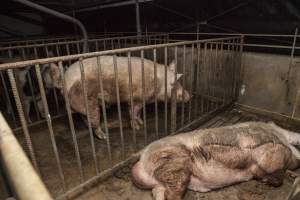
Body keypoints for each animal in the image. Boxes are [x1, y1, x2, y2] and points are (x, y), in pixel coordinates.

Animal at [49, 55, 190, 140]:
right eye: (175, 84)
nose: (190, 96)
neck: (158, 82)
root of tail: (64, 80)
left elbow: (138, 112)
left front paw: (141, 122)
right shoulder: (136, 98)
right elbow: (133, 112)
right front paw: (137, 127)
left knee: (85, 117)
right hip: (87, 100)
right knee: (93, 118)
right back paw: (104, 136)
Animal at [132, 121, 300, 199]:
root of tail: (142, 159)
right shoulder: (271, 155)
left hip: (160, 181)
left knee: (160, 193)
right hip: (173, 161)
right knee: (174, 192)